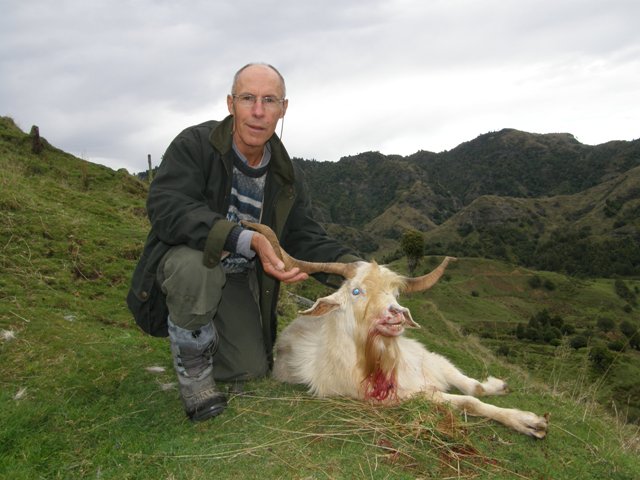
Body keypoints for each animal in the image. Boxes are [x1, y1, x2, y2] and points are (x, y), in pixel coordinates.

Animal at [245, 222, 549, 438]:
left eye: (396, 292)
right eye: (356, 291)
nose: (397, 313)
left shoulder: (431, 359)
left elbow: (474, 387)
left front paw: (499, 386)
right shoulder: (403, 396)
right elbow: (468, 402)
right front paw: (529, 422)